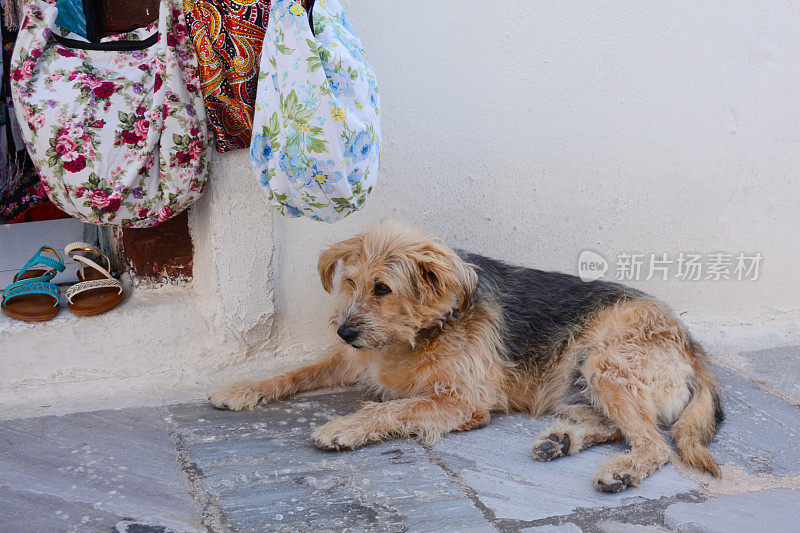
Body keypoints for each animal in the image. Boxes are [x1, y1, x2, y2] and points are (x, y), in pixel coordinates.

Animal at [209, 219, 720, 490]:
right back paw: (560, 441)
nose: (345, 330)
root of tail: (691, 344)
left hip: (604, 364)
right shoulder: (352, 358)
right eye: (350, 282)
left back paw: (622, 470)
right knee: (615, 427)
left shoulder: (463, 401)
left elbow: (394, 407)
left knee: (654, 443)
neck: (422, 331)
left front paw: (345, 427)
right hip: (577, 385)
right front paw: (242, 388)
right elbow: (294, 372)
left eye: (383, 288)